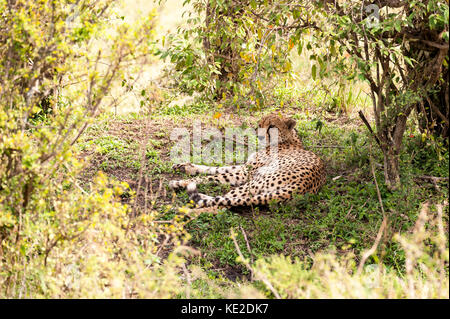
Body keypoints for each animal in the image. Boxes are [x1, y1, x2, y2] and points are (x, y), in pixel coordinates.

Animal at [171, 114, 326, 209]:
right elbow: (215, 168)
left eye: (272, 126)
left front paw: (180, 182)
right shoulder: (246, 168)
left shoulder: (246, 173)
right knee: (225, 199)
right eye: (260, 124)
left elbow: (213, 176)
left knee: (225, 203)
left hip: (254, 184)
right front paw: (185, 167)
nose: (260, 136)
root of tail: (302, 186)